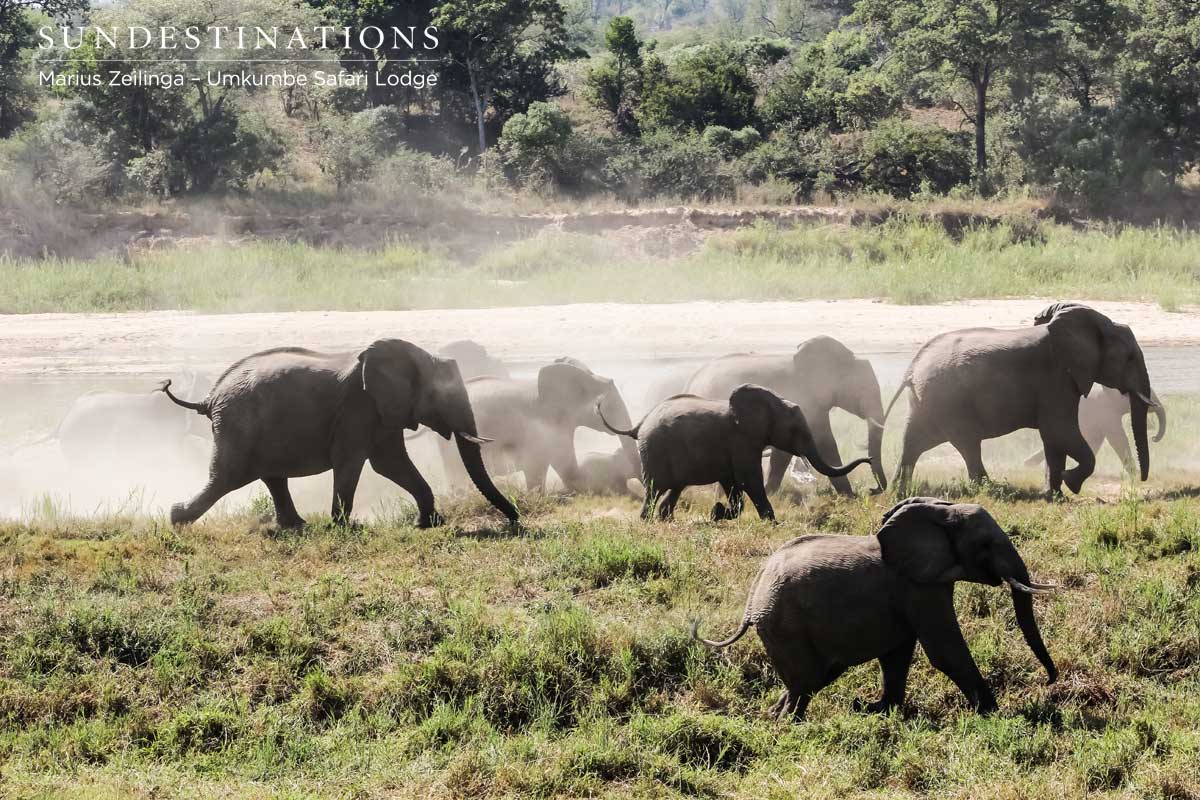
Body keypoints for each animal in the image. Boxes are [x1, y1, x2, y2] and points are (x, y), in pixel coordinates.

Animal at [162, 339, 519, 529]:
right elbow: (352, 461)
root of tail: (209, 397)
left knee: (271, 477)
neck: (417, 354)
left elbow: (391, 463)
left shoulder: (382, 413)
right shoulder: (358, 408)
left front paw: (430, 524)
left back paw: (297, 526)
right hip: (238, 423)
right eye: (442, 396)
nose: (514, 519)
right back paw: (177, 519)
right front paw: (347, 527)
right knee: (227, 476)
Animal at [600, 384, 874, 521]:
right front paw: (772, 523)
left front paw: (719, 514)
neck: (771, 401)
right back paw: (647, 520)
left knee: (675, 488)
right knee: (654, 489)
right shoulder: (741, 441)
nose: (870, 459)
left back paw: (666, 519)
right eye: (797, 431)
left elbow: (733, 483)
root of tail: (640, 424)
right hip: (654, 450)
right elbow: (748, 480)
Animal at [685, 336, 887, 496]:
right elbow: (825, 444)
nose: (871, 490)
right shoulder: (806, 399)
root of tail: (692, 380)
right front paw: (849, 498)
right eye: (862, 389)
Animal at [693, 497, 1058, 720]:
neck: (940, 511)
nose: (1049, 682)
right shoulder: (918, 586)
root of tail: (753, 595)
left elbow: (897, 654)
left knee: (814, 677)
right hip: (783, 624)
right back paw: (789, 723)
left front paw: (880, 710)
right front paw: (994, 714)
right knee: (806, 679)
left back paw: (774, 716)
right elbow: (944, 651)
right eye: (986, 545)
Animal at [1025, 386, 1166, 473]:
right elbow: (1118, 440)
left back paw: (1028, 464)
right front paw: (1135, 475)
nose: (1153, 438)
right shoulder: (1106, 412)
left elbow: (1096, 442)